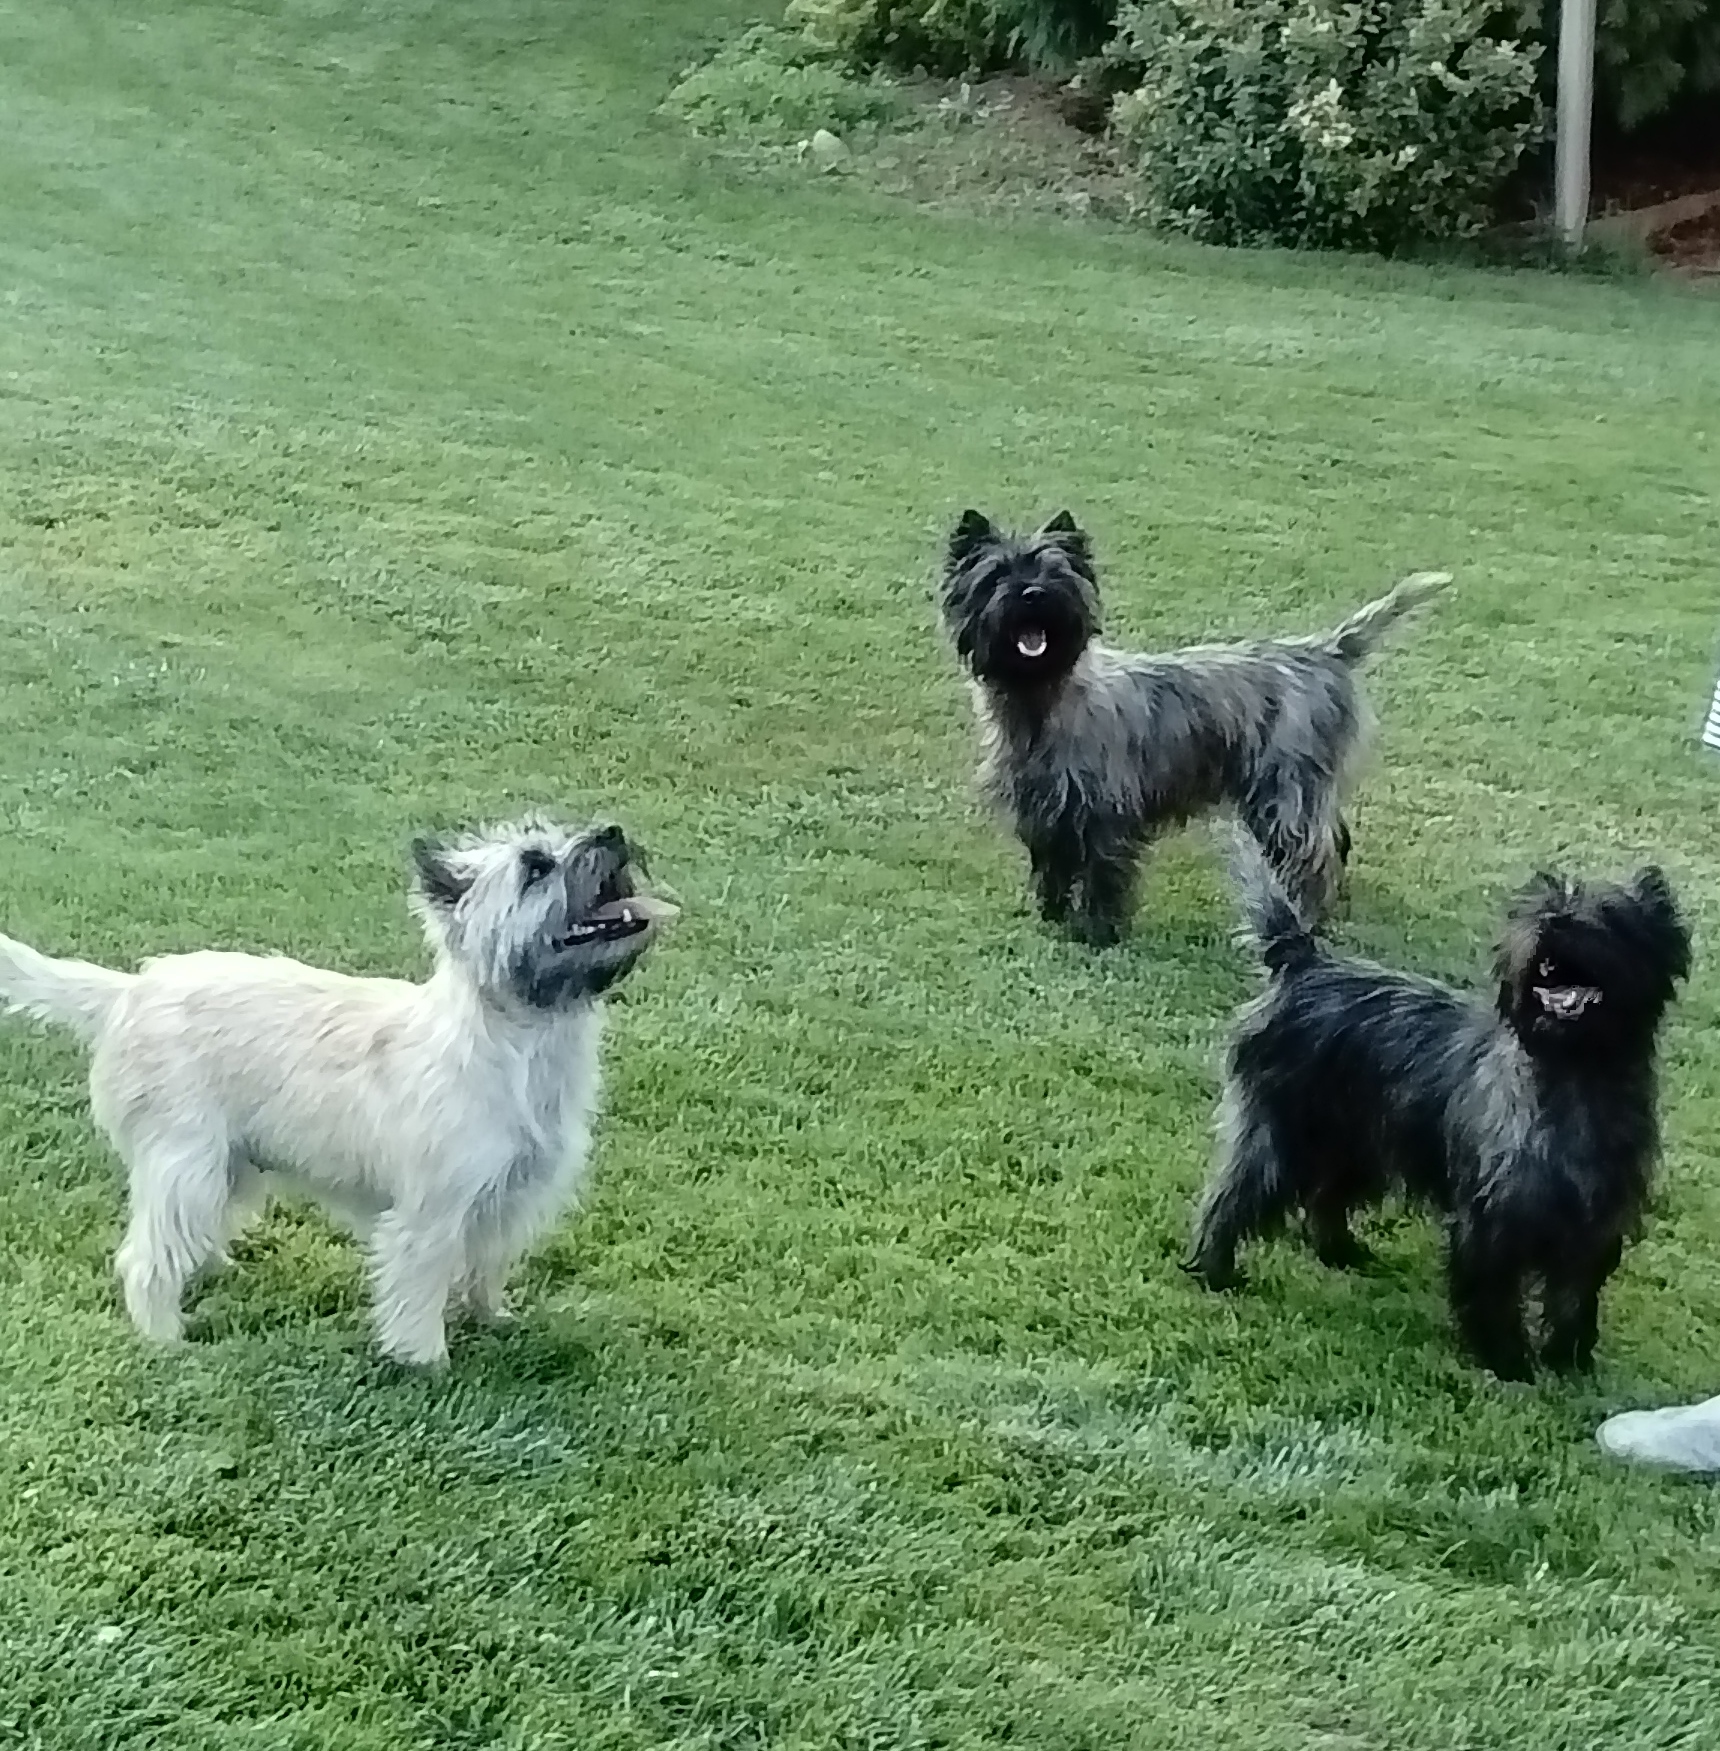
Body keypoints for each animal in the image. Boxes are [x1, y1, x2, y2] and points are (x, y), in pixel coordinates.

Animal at [0, 818, 677, 1366]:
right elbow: (420, 1289)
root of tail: (127, 990)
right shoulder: (432, 1212)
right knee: (146, 1258)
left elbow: (484, 1268)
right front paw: (426, 1363)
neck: (521, 1045)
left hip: (231, 1162)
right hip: (184, 1160)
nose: (614, 830)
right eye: (535, 866)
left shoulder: (509, 1200)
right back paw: (164, 1336)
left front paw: (492, 1320)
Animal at [939, 509, 1450, 944]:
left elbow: (1103, 876)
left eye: (1054, 573)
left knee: (1312, 857)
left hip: (1286, 794)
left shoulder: (1107, 812)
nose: (1032, 595)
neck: (1043, 699)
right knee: (1334, 841)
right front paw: (1052, 916)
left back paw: (1306, 919)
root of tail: (1325, 650)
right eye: (997, 575)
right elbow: (1053, 869)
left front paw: (1097, 933)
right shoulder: (1046, 812)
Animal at [1185, 843, 1691, 1381]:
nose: (1555, 924)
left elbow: (1574, 1297)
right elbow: (1493, 1294)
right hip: (1284, 1134)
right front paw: (1508, 1361)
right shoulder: (1490, 1221)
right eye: (1539, 911)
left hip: (1354, 1143)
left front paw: (1568, 1359)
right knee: (1231, 1197)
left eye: (1610, 915)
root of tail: (1304, 964)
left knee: (1324, 1199)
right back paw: (1215, 1271)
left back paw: (1341, 1253)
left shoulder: (1594, 1225)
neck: (1572, 1075)